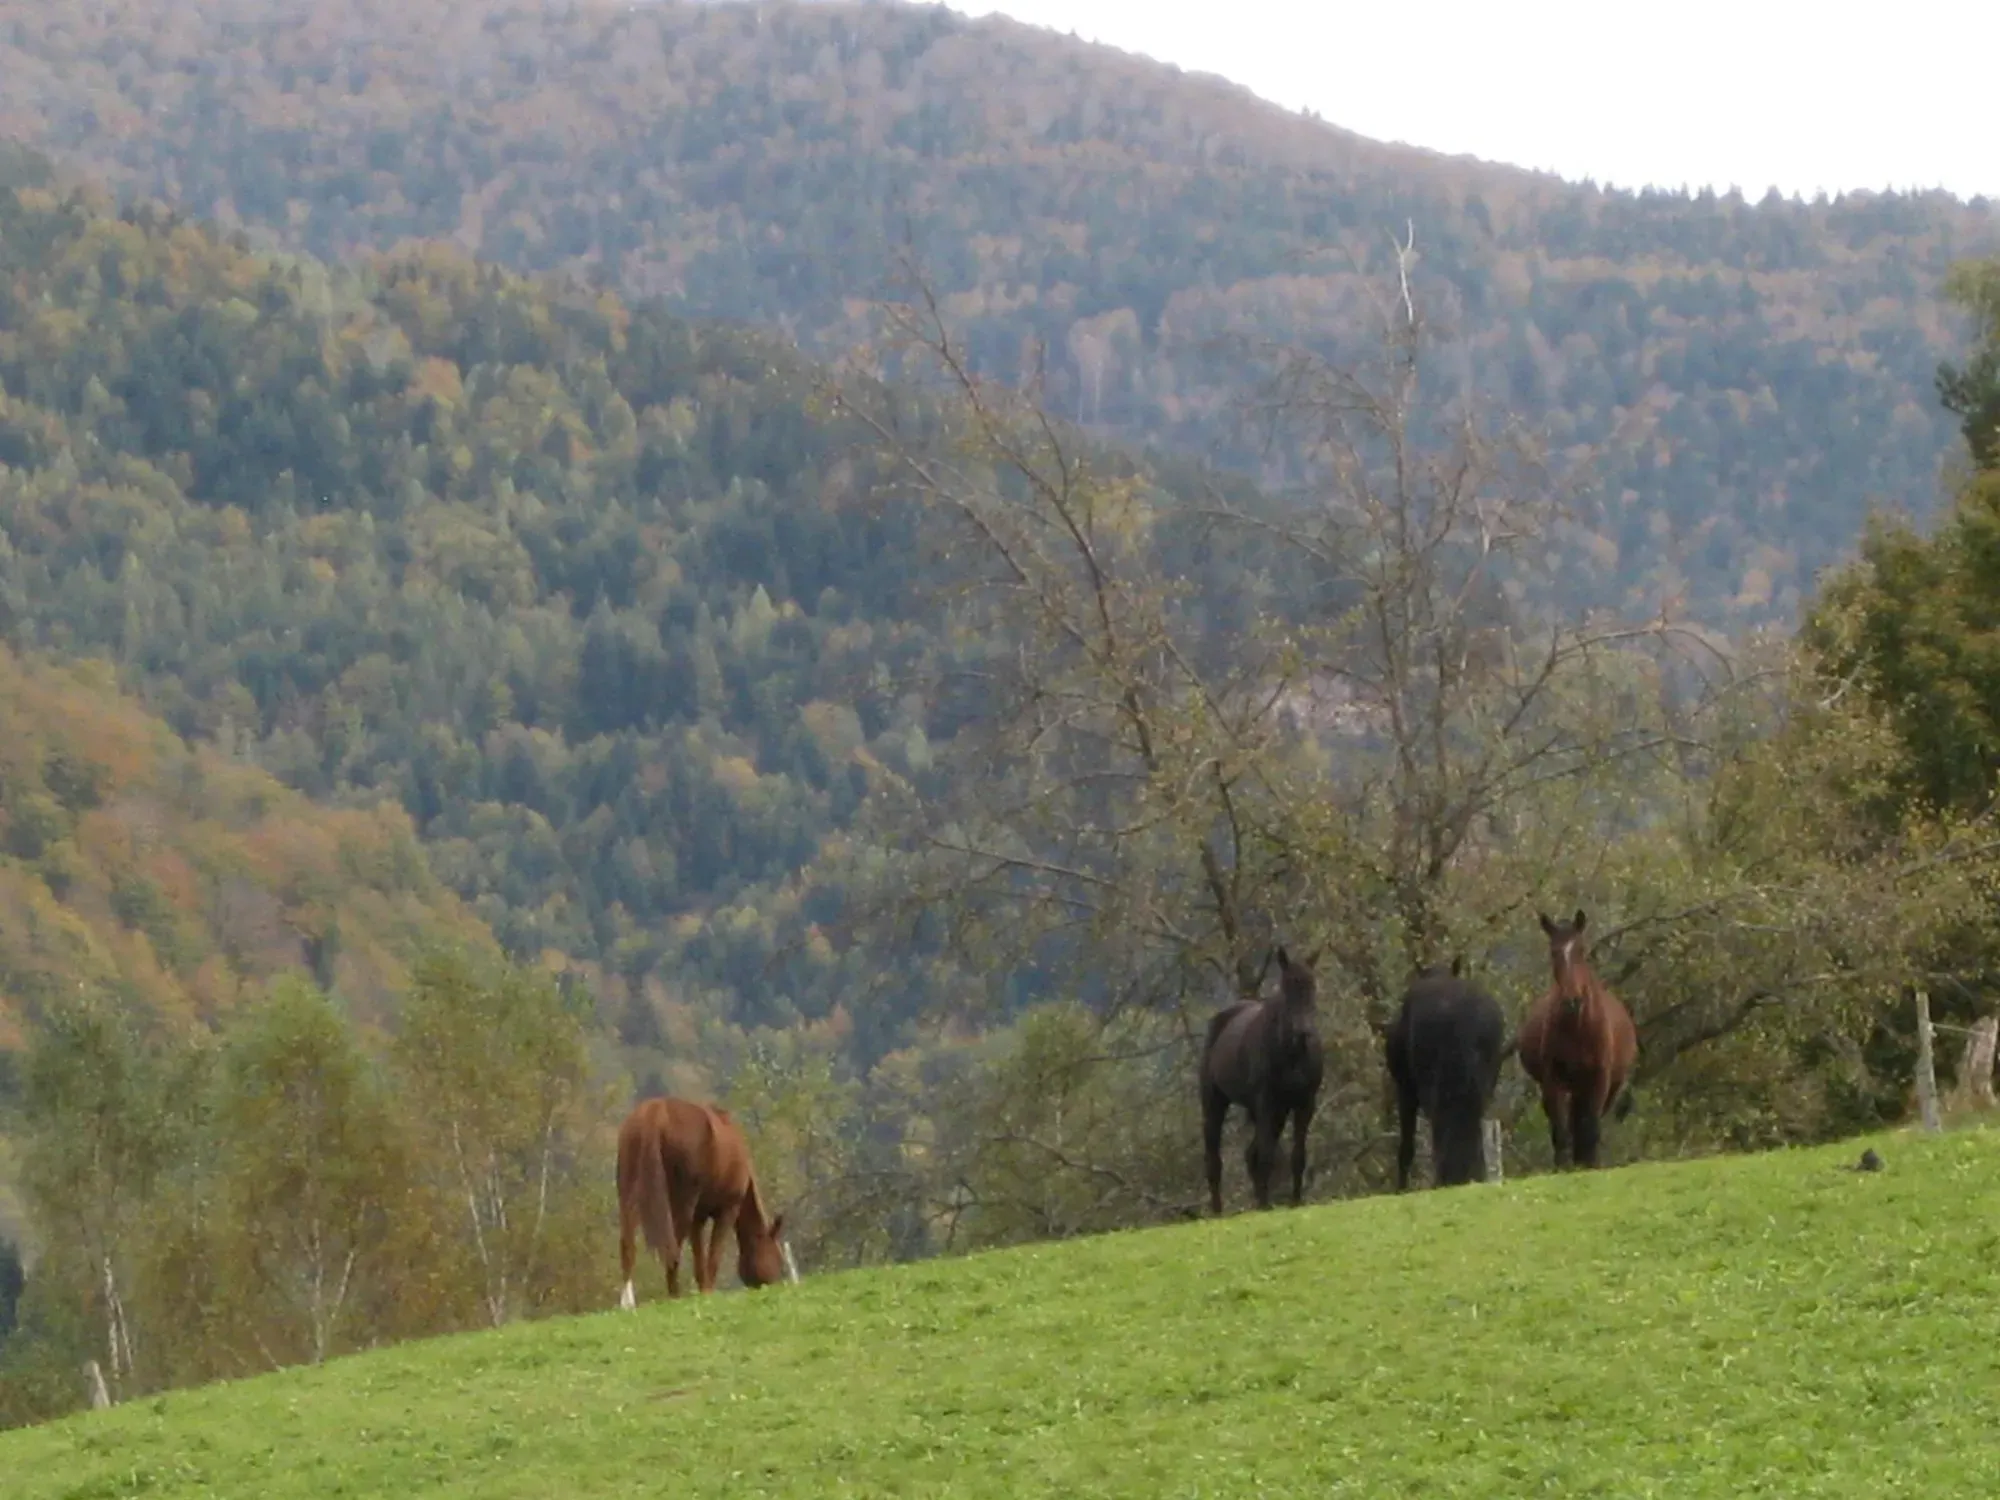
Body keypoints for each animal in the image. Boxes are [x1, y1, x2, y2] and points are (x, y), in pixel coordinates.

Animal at [616, 1096, 786, 1306]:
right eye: (777, 1258)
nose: (775, 1285)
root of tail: (655, 1112)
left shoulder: (698, 1217)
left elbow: (699, 1259)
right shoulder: (727, 1210)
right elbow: (713, 1256)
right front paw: (707, 1293)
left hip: (628, 1196)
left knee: (627, 1246)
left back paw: (627, 1303)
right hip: (681, 1205)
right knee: (673, 1248)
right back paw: (674, 1295)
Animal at [1199, 945, 1325, 1213]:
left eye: (1313, 986)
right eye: (1287, 987)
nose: (1304, 1031)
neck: (1291, 1055)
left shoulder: (1304, 1104)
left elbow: (1298, 1155)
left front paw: (1295, 1202)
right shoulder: (1266, 1102)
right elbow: (1267, 1155)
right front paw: (1267, 1205)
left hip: (1275, 1112)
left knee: (1250, 1153)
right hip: (1215, 1102)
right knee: (1214, 1159)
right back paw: (1218, 1211)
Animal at [1516, 910, 1639, 1169]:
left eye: (1581, 950)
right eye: (1553, 951)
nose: (1572, 1000)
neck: (1578, 1027)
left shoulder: (1599, 1079)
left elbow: (1590, 1127)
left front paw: (1589, 1165)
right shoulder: (1553, 1081)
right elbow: (1560, 1131)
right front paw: (1563, 1167)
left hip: (1605, 1087)